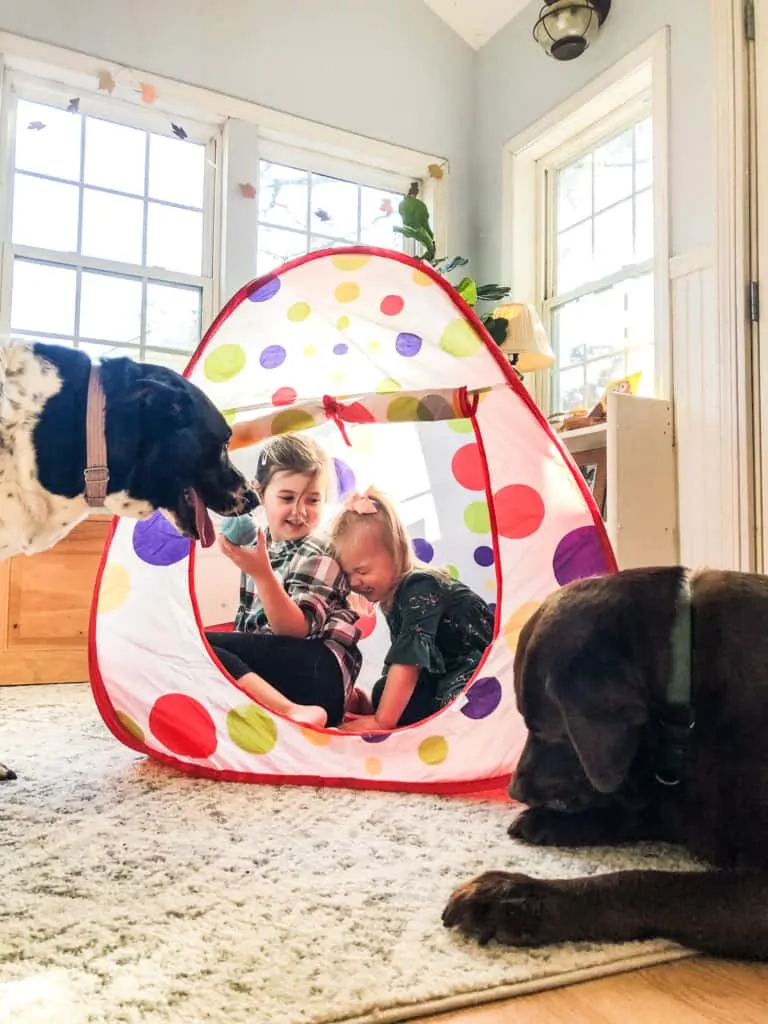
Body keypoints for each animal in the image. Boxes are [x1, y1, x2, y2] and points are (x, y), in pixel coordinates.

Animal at [442, 569, 768, 958]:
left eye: (544, 729)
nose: (514, 790)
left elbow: (645, 882)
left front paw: (513, 897)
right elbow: (641, 812)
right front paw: (553, 822)